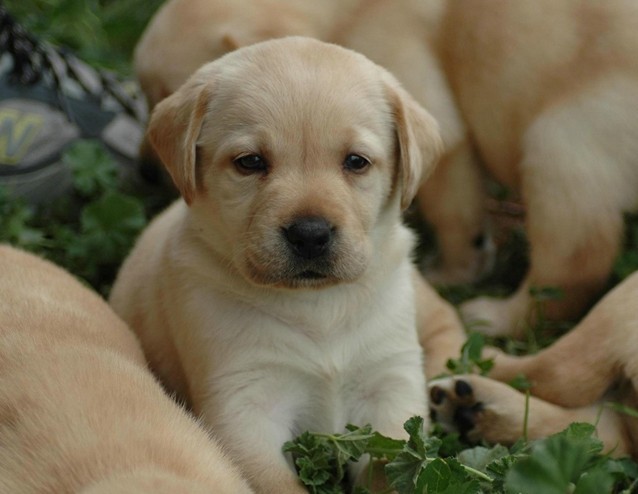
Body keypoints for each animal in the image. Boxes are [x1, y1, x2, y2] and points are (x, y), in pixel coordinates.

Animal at [109, 36, 470, 492]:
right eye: (250, 162)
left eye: (356, 161)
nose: (310, 235)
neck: (317, 305)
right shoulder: (244, 406)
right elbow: (274, 482)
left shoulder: (390, 386)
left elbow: (393, 462)